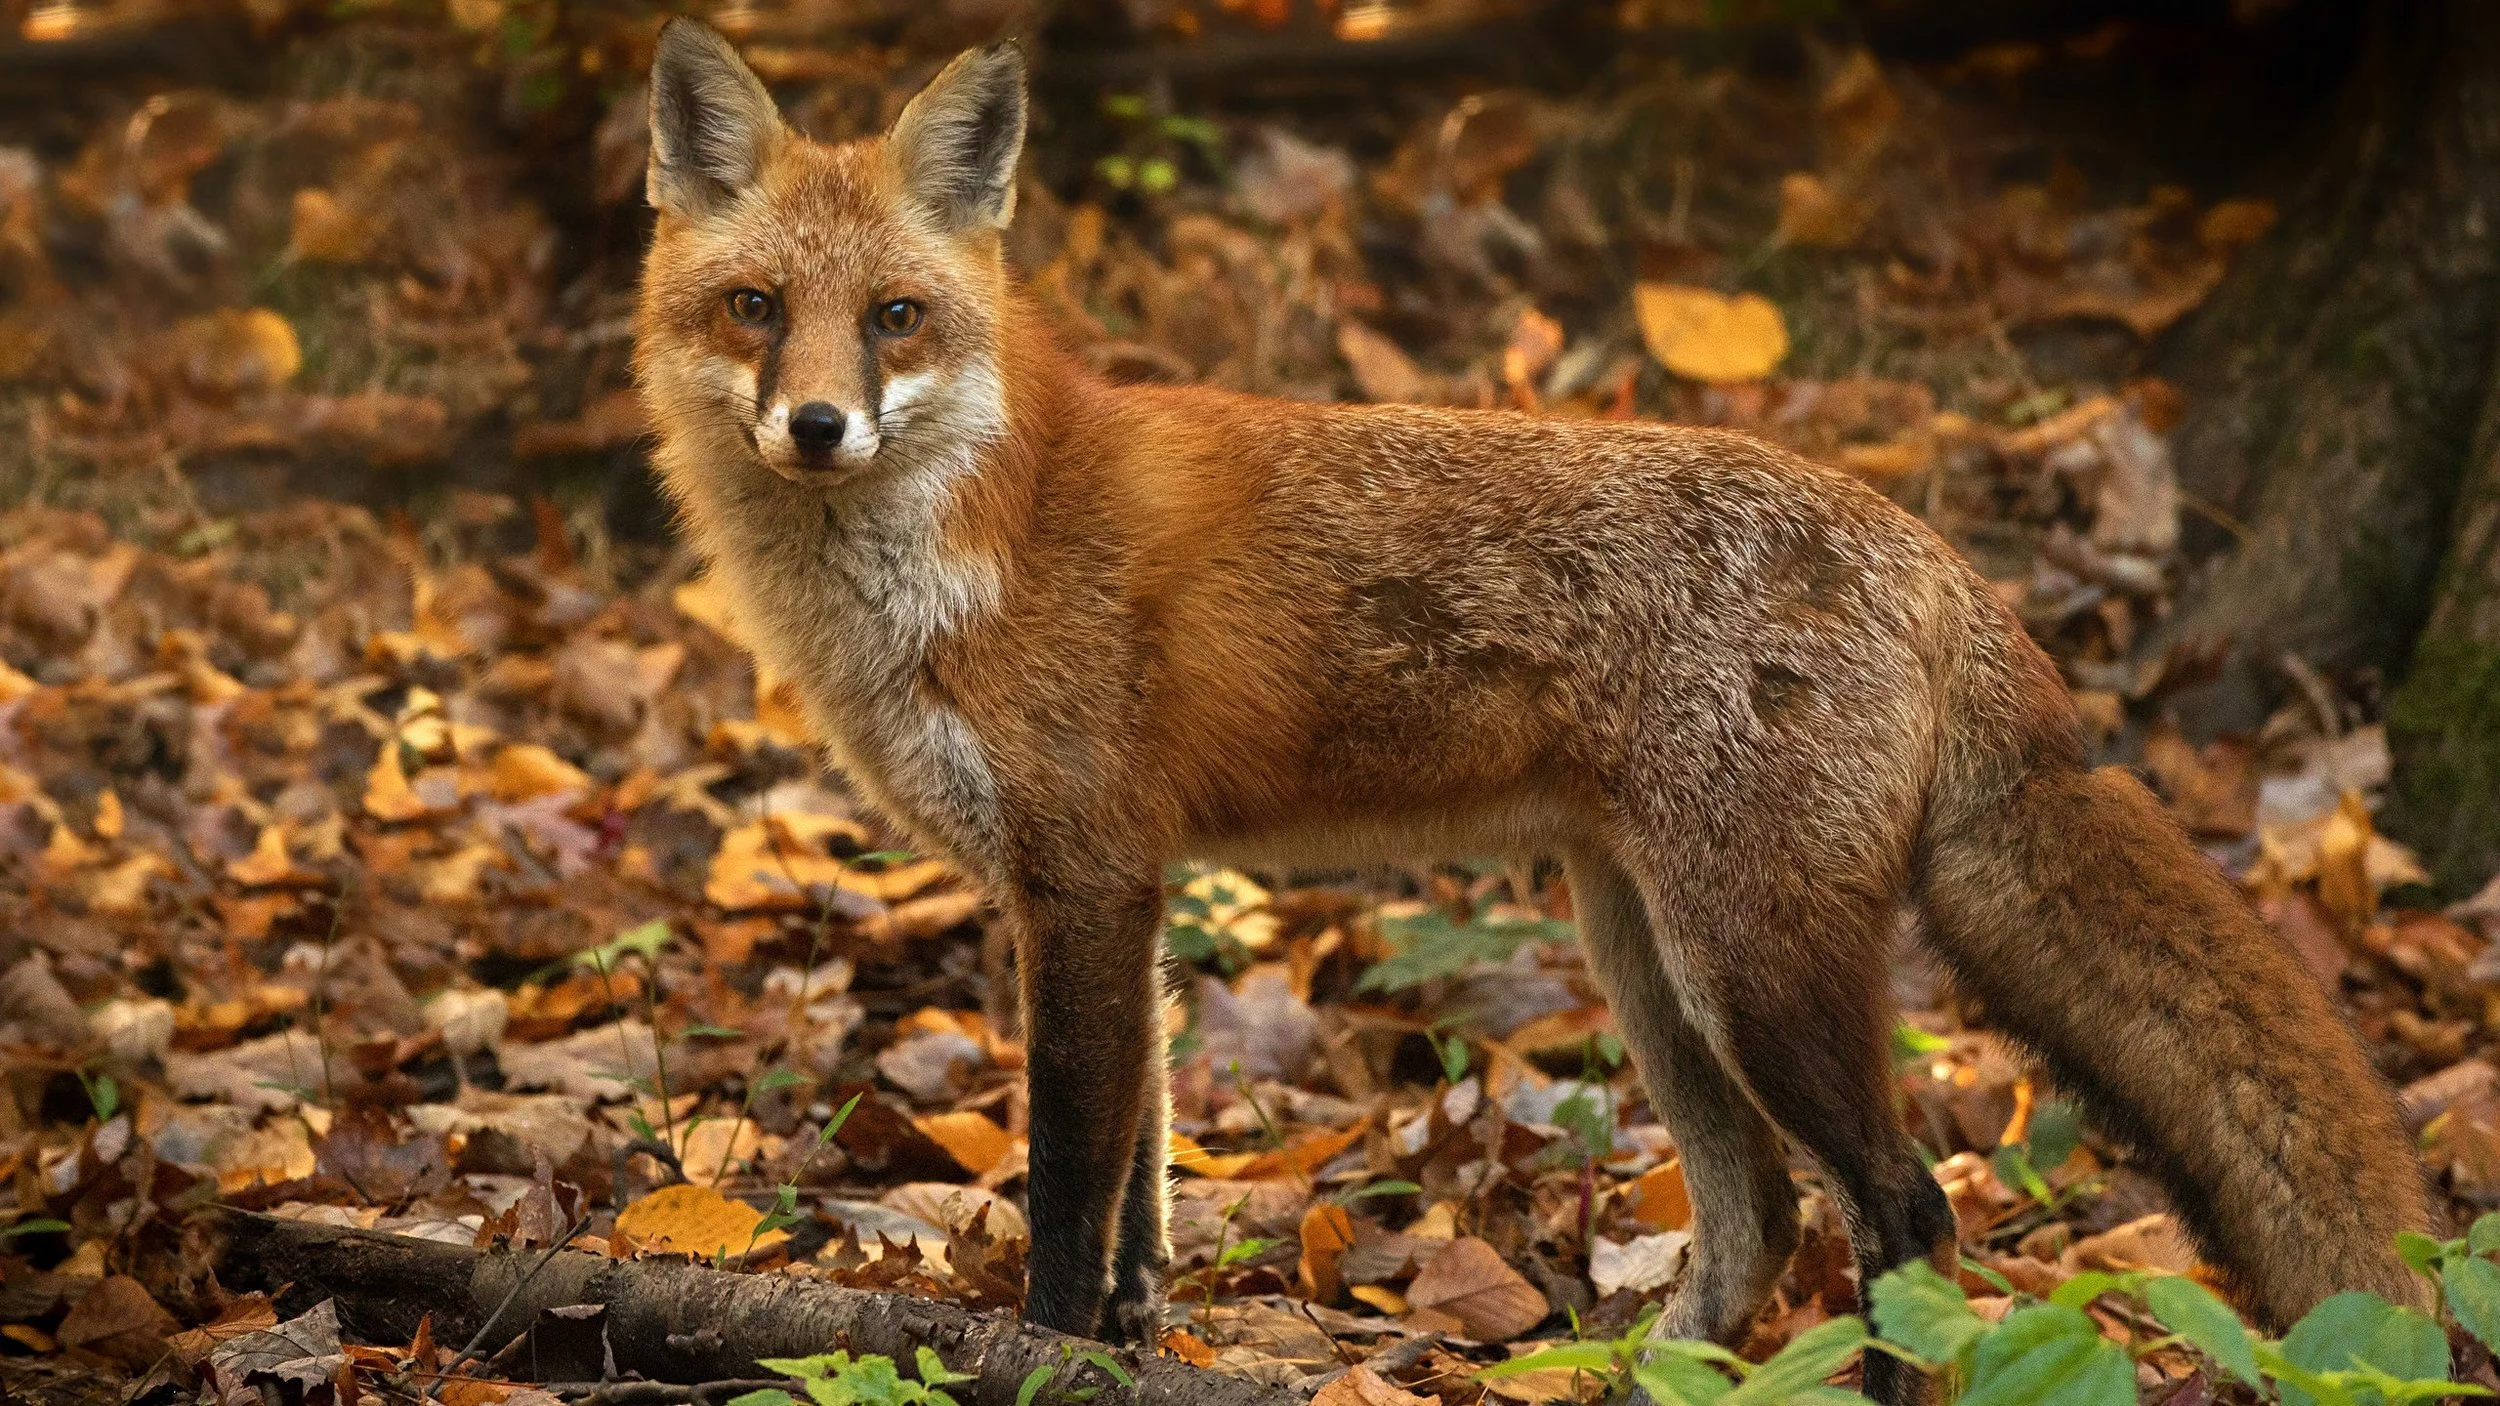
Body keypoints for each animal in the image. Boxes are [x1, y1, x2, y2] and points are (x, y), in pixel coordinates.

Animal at [633, 20, 2433, 1402]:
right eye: (753, 309)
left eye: (895, 319)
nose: (814, 426)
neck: (980, 537)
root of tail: (1935, 554)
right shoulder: (1121, 891)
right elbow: (1146, 1181)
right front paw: (1135, 1340)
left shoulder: (1081, 872)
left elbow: (1073, 1184)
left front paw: (1050, 1352)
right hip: (1644, 954)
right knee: (1761, 1222)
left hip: (1753, 969)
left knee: (1908, 1216)